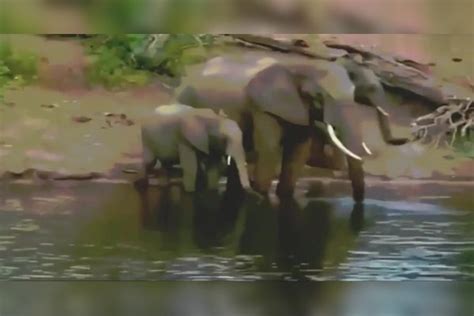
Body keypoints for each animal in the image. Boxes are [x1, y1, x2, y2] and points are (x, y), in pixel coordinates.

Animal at [176, 51, 410, 200]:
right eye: (319, 98)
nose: (406, 137)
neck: (302, 65)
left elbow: (298, 153)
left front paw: (281, 194)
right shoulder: (264, 107)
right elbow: (269, 149)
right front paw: (260, 193)